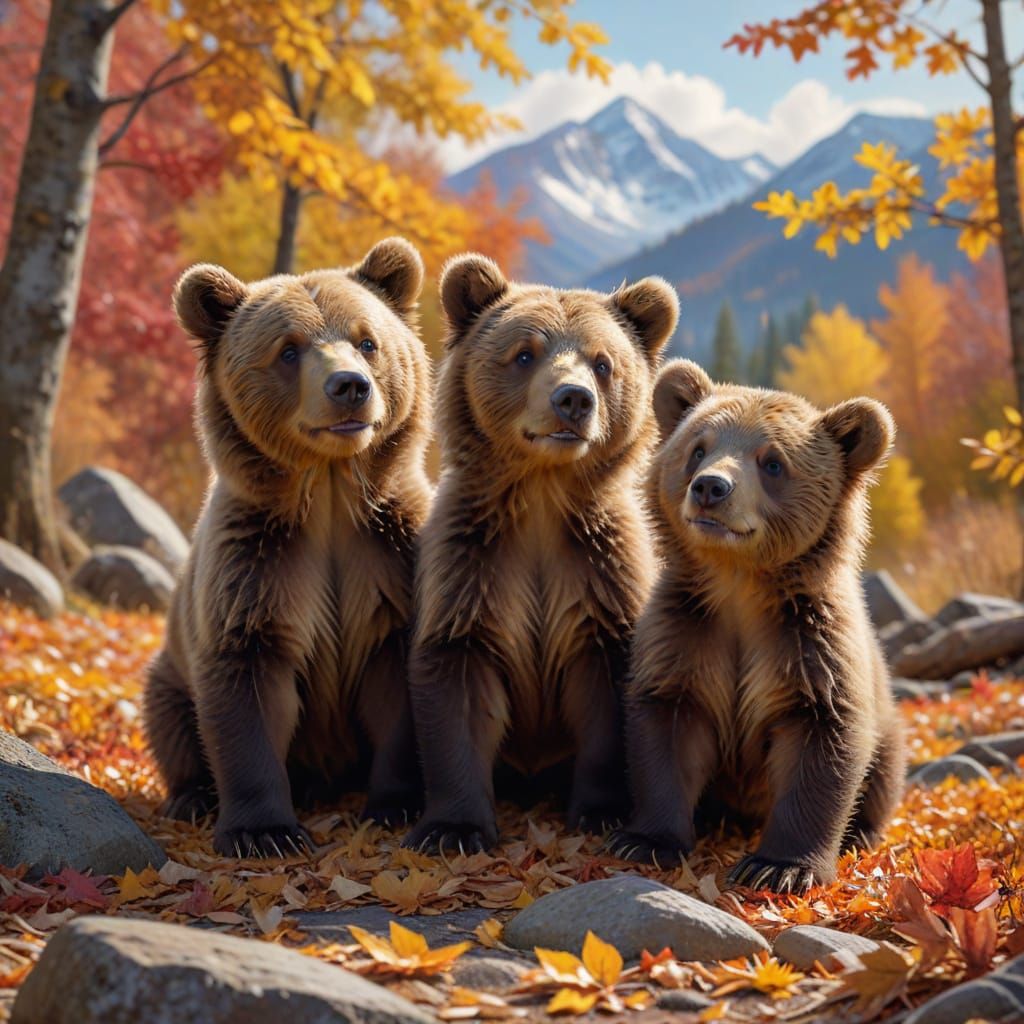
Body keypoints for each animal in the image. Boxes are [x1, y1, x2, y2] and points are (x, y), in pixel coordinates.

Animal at [143, 238, 432, 858]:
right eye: (289, 350)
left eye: (367, 340)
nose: (349, 387)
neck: (328, 496)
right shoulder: (257, 564)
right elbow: (246, 686)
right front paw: (264, 832)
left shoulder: (387, 558)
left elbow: (398, 694)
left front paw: (394, 804)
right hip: (171, 670)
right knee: (168, 716)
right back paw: (191, 796)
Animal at [403, 253, 679, 853]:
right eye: (525, 352)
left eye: (603, 363)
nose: (573, 399)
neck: (541, 498)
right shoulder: (474, 566)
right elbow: (458, 682)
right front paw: (453, 827)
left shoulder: (598, 574)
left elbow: (606, 700)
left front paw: (601, 811)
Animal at [610, 360, 906, 893]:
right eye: (698, 447)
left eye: (772, 463)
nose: (710, 487)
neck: (739, 585)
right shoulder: (687, 634)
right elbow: (667, 729)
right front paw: (645, 839)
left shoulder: (808, 646)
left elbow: (821, 739)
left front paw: (779, 866)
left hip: (888, 721)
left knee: (885, 770)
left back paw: (861, 832)